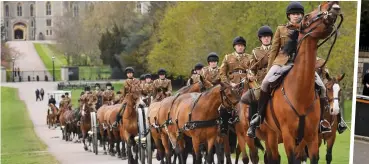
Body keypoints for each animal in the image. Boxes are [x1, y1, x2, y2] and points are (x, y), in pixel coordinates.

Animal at [262, 1, 340, 163]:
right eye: (307, 17)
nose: (332, 4)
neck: (300, 92)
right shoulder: (288, 137)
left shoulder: (311, 137)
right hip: (271, 136)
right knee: (273, 157)